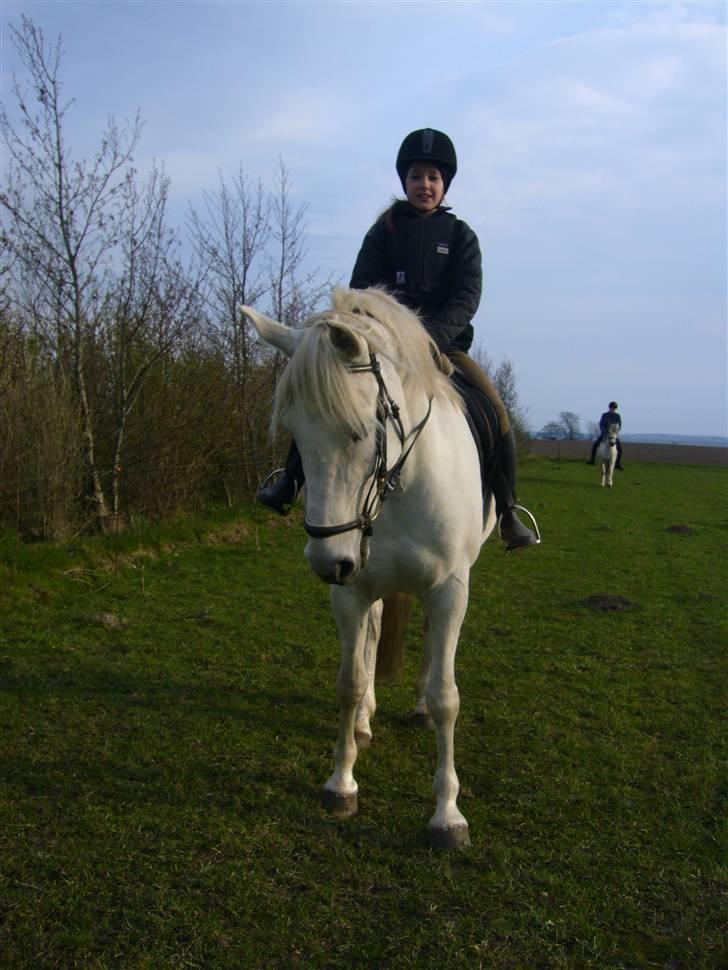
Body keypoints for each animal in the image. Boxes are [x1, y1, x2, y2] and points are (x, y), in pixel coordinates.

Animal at [243, 288, 500, 848]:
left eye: (360, 430)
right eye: (293, 434)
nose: (327, 561)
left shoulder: (450, 589)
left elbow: (447, 696)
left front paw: (447, 815)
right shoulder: (351, 589)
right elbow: (350, 680)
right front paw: (342, 783)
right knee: (374, 635)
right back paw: (363, 722)